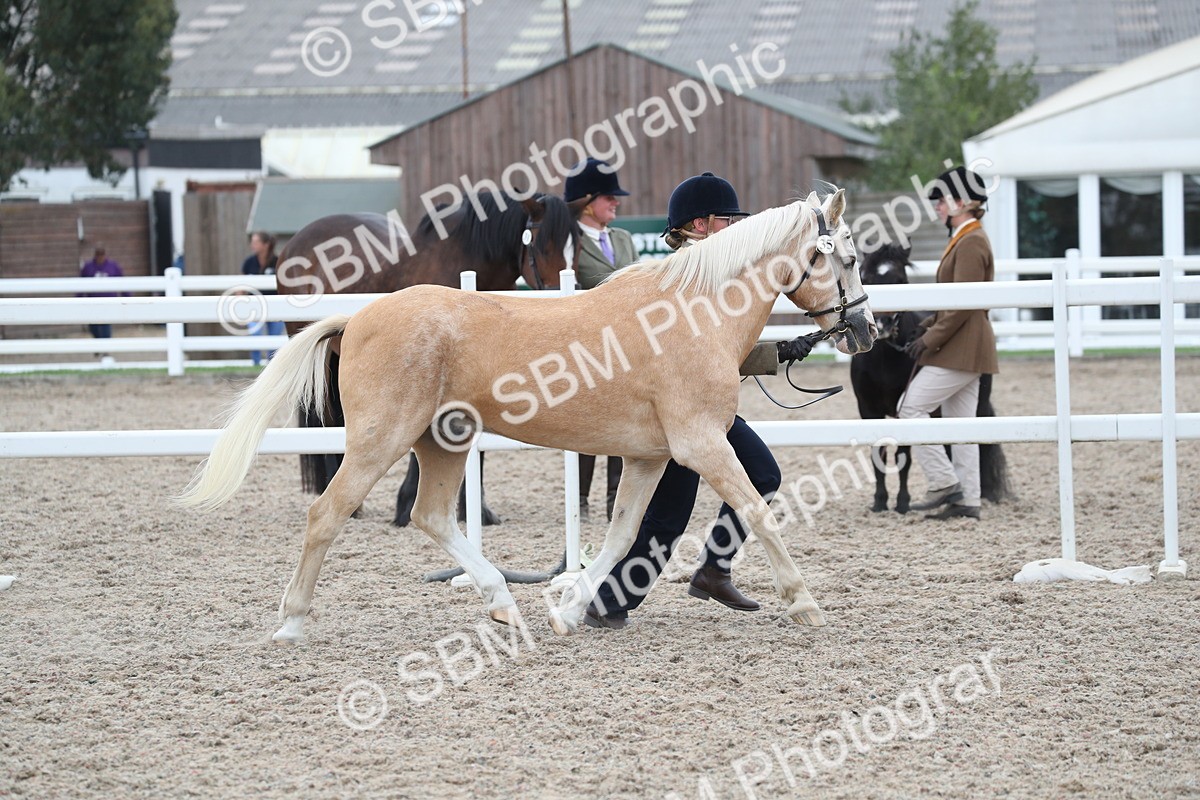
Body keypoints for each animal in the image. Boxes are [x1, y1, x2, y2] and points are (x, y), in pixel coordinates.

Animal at [275, 191, 584, 529]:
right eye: (541, 244)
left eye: (578, 245)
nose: (564, 298)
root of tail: (294, 243)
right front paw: (406, 503)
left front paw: (477, 509)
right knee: (329, 424)